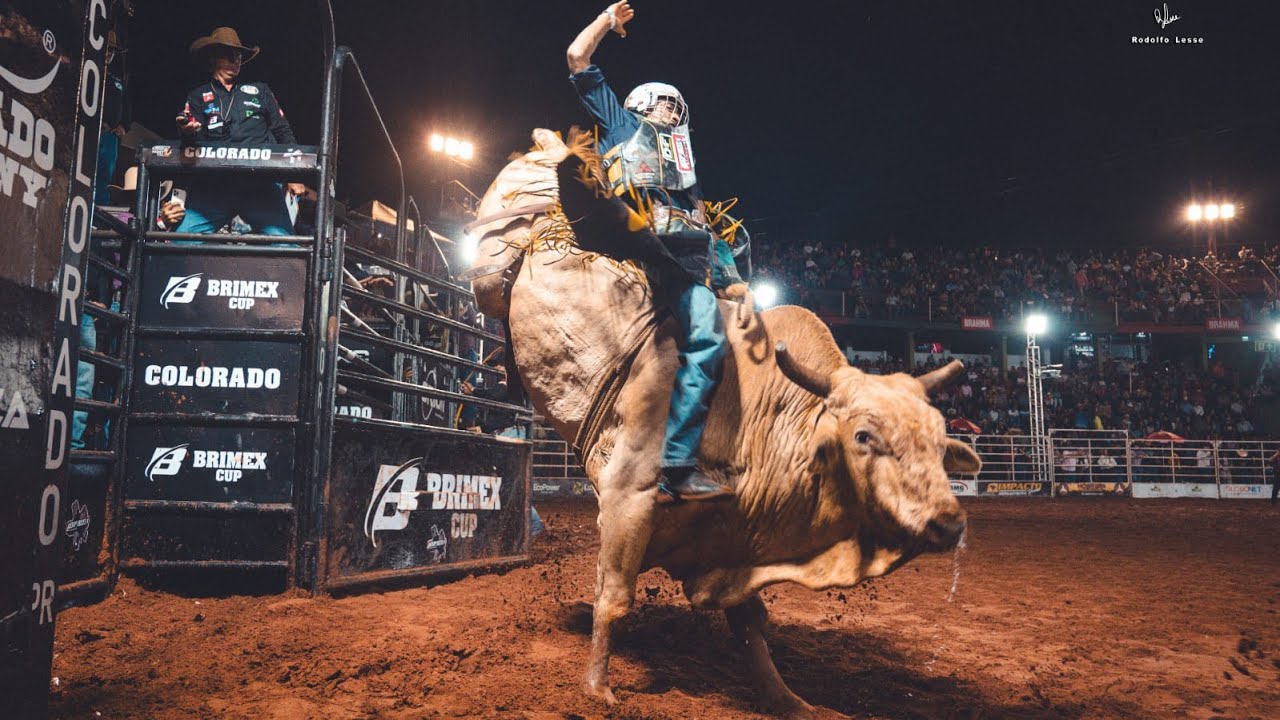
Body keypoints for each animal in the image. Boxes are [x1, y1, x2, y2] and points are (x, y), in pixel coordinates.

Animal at [471, 127, 977, 712]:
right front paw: (598, 688)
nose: (949, 522)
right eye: (863, 435)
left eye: (939, 444)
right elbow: (614, 599)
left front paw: (787, 699)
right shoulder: (627, 499)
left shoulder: (735, 542)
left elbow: (750, 626)